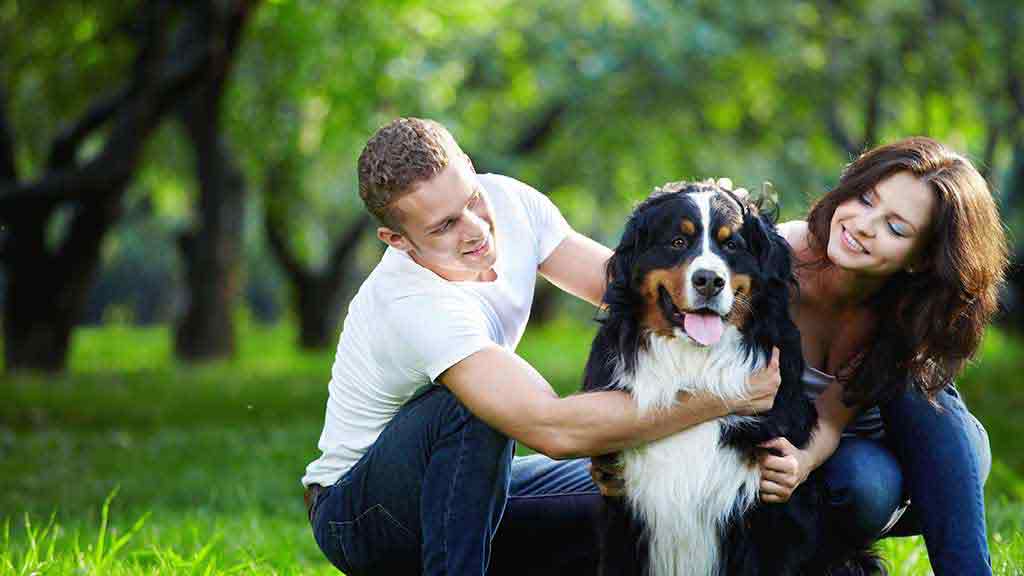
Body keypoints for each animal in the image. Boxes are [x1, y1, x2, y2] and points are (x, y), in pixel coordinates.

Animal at [581, 180, 884, 573]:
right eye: (677, 241)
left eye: (731, 245)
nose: (709, 280)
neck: (694, 370)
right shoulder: (623, 509)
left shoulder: (772, 518)